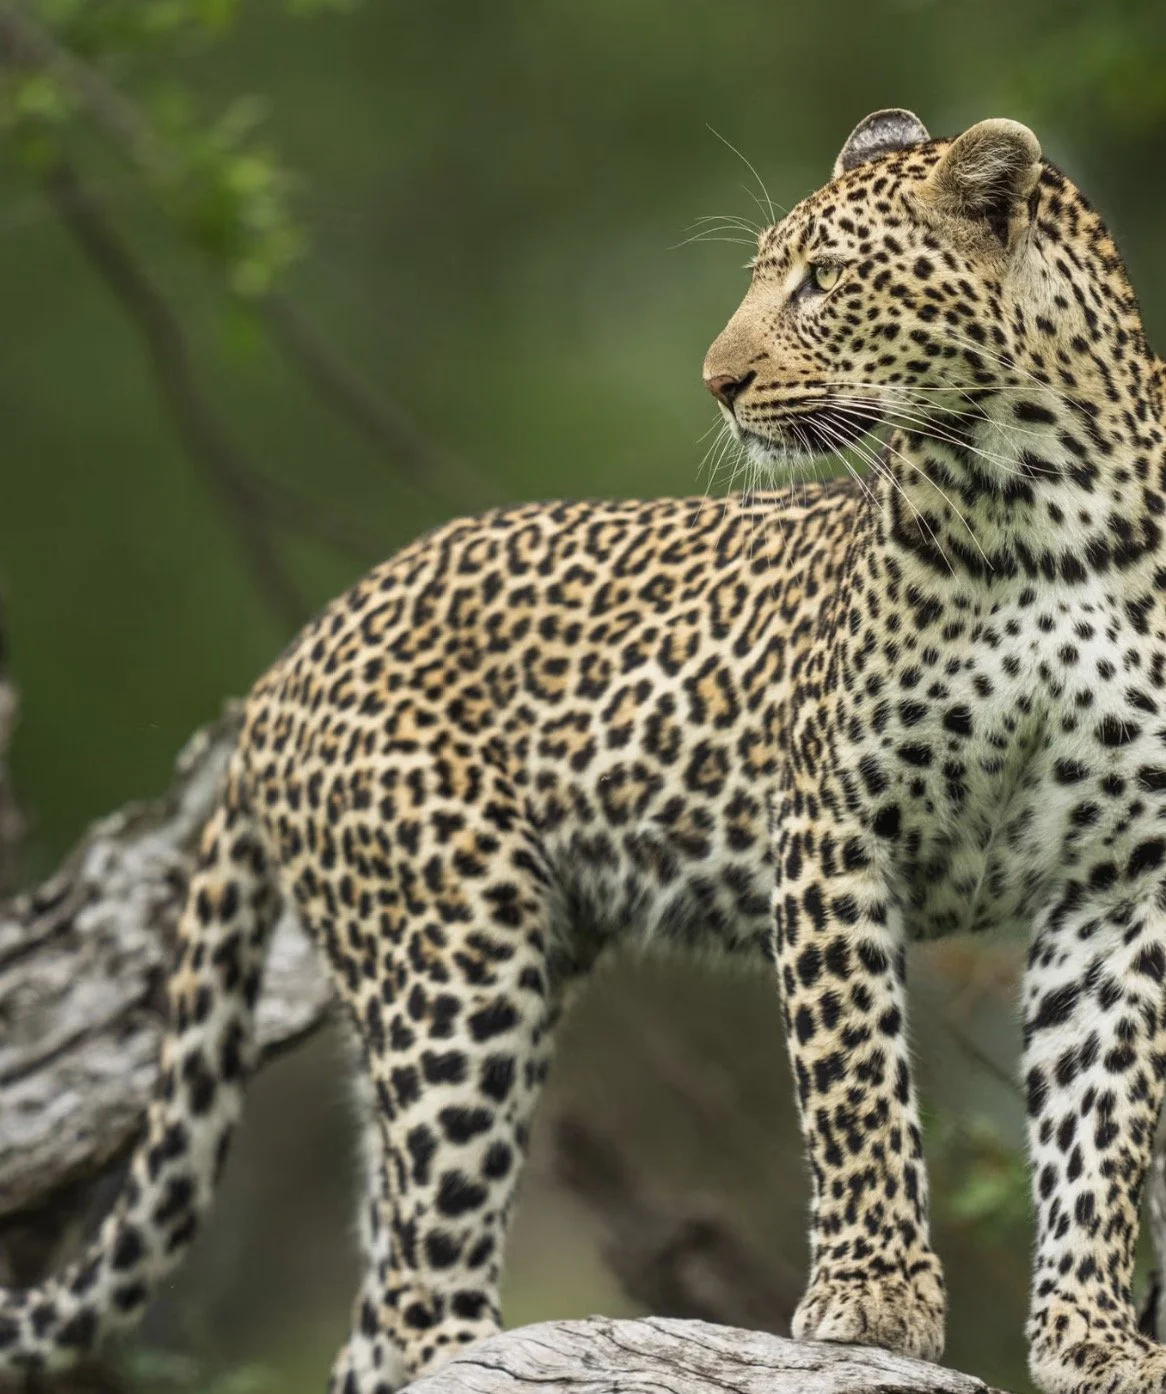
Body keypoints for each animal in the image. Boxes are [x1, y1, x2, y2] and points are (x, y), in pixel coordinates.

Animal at [2, 107, 1166, 1394]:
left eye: (821, 279)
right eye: (766, 272)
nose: (718, 380)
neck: (1032, 498)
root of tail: (286, 662)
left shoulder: (1115, 882)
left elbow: (1100, 1121)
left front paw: (1093, 1336)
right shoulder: (832, 830)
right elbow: (853, 1079)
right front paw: (872, 1300)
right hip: (459, 953)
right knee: (416, 1295)